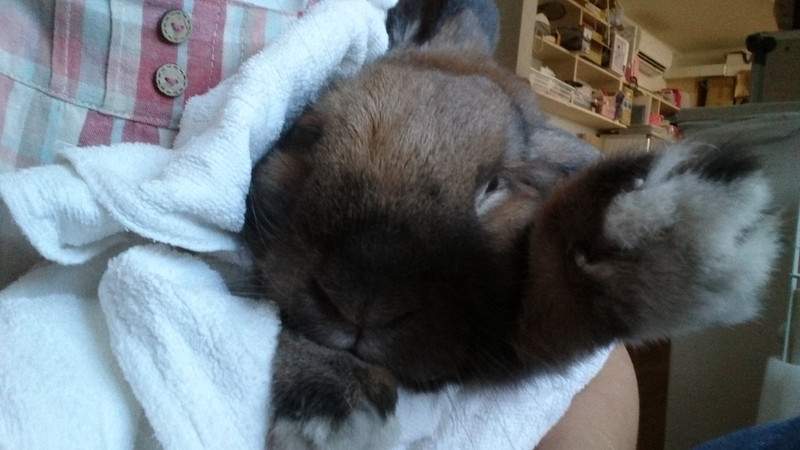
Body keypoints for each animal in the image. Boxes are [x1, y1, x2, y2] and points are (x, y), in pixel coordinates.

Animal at [241, 0, 780, 447]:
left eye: (494, 186)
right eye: (310, 137)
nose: (361, 298)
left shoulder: (511, 336)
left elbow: (554, 292)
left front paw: (664, 224)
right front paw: (334, 411)